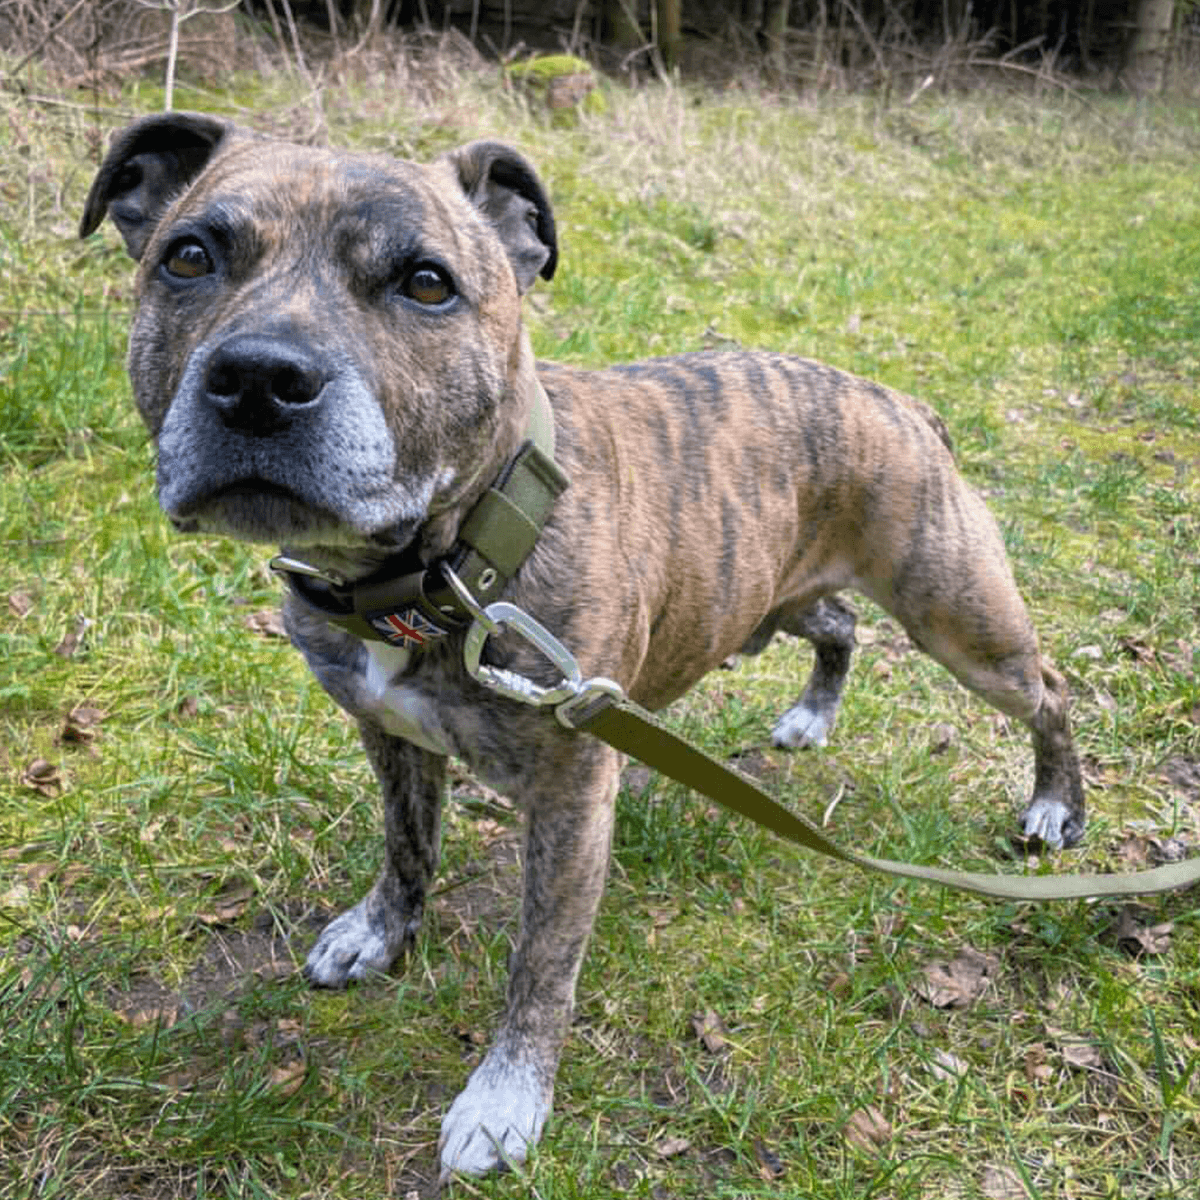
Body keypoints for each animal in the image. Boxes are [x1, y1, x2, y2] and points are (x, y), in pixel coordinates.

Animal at [79, 114, 1084, 1180]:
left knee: (1050, 687)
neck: (444, 566)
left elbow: (542, 961)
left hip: (961, 620)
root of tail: (899, 401)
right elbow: (406, 846)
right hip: (771, 597)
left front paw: (505, 1097)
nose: (261, 378)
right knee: (838, 626)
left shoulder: (569, 800)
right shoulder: (388, 735)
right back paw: (813, 714)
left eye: (426, 282)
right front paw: (379, 934)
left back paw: (1056, 805)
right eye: (190, 257)